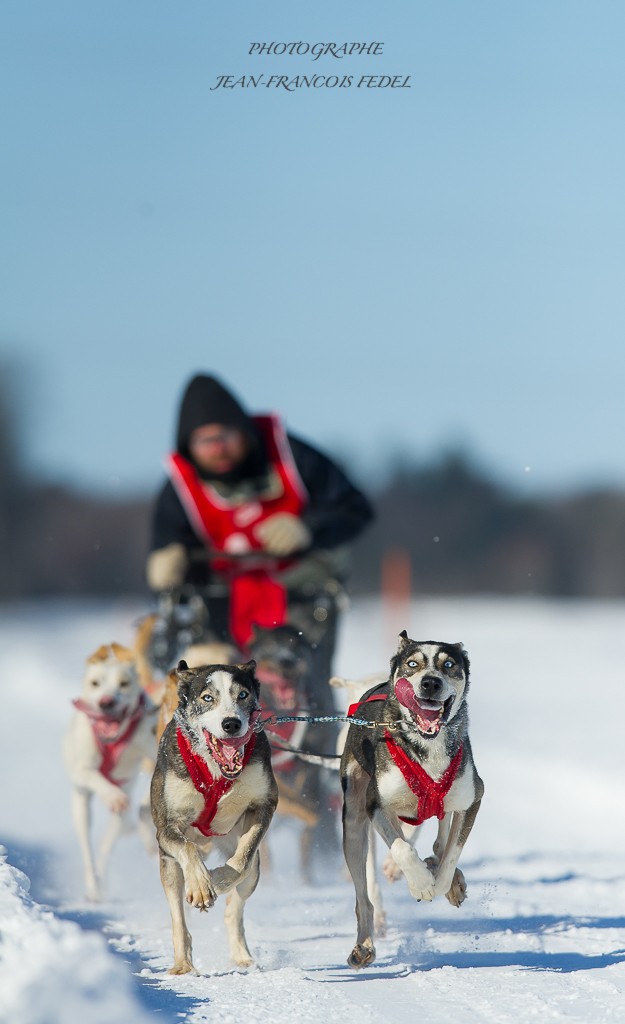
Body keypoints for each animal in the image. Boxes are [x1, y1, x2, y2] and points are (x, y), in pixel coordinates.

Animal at [62, 643, 157, 901]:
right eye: (95, 683)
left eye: (124, 683)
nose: (106, 702)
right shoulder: (81, 769)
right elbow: (92, 774)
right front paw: (112, 795)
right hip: (81, 809)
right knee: (88, 848)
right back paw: (94, 886)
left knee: (107, 844)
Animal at [149, 659, 276, 970]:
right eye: (208, 698)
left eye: (242, 694)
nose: (231, 723)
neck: (216, 773)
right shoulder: (166, 827)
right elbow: (187, 848)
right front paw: (201, 885)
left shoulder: (263, 805)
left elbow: (241, 860)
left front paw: (217, 879)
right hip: (168, 865)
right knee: (178, 917)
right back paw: (183, 964)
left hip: (252, 869)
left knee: (236, 905)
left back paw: (242, 955)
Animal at [340, 626, 481, 970]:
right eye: (413, 664)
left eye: (448, 665)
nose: (430, 682)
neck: (427, 745)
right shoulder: (377, 805)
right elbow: (403, 849)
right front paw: (419, 881)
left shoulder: (472, 799)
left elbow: (451, 854)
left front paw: (441, 883)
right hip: (354, 823)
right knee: (364, 896)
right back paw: (364, 944)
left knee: (440, 841)